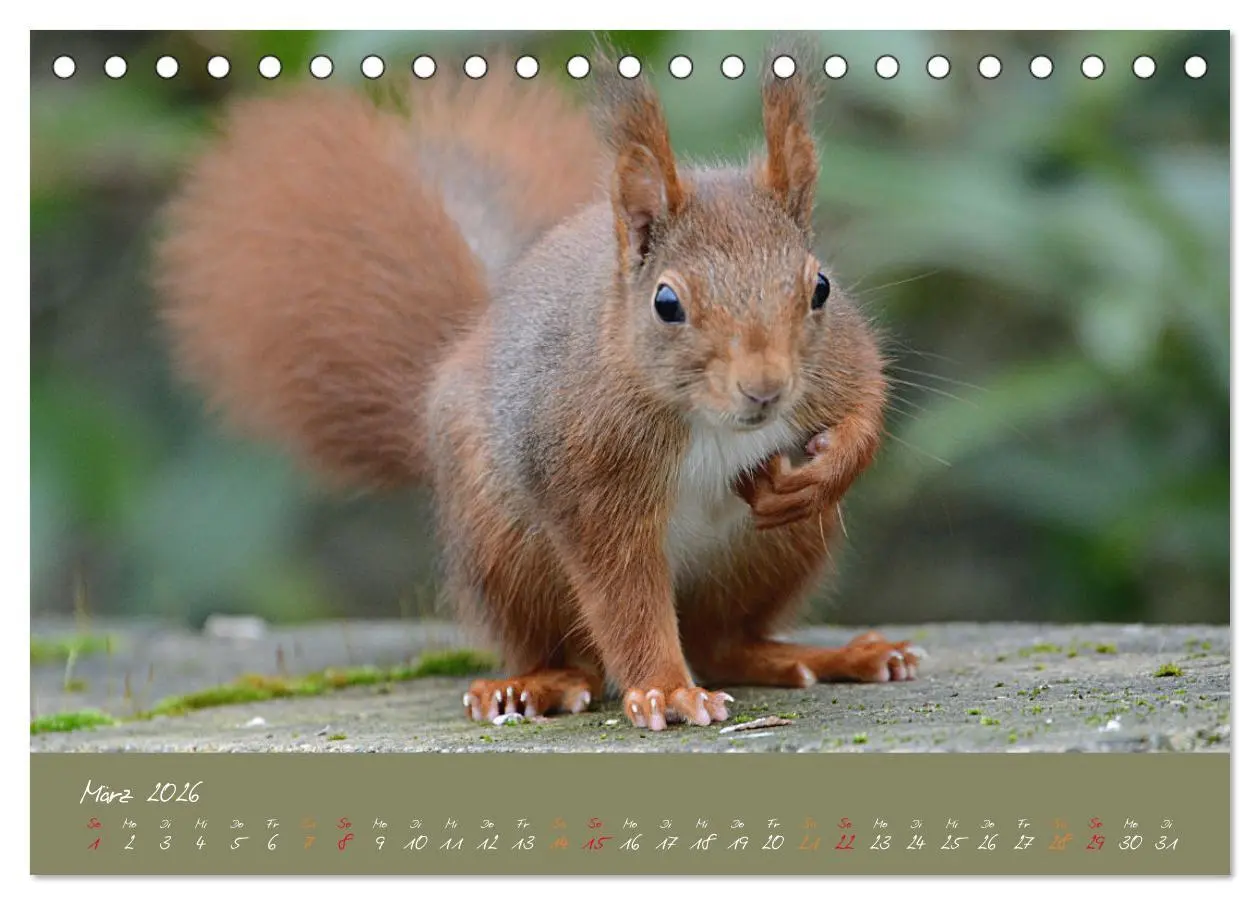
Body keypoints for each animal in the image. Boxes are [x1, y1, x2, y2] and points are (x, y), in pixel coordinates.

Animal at [154, 46, 924, 732]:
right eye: (667, 303)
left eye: (820, 287)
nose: (765, 390)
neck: (703, 418)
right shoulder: (588, 472)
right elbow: (622, 594)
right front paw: (665, 691)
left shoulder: (839, 359)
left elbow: (867, 398)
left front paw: (829, 468)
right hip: (505, 549)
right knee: (573, 649)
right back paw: (532, 684)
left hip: (773, 552)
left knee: (724, 640)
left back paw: (827, 656)